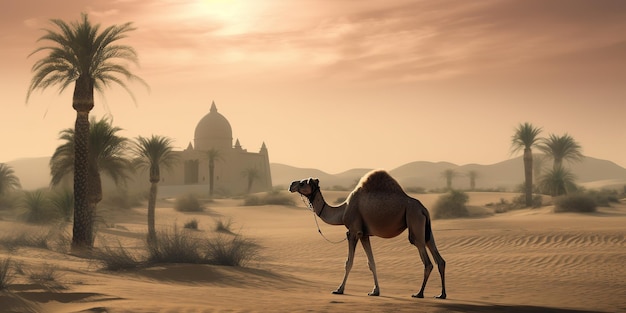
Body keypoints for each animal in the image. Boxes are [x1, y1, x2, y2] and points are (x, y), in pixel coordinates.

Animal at [288, 168, 444, 298]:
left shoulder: (353, 232)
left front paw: (339, 289)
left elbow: (349, 262)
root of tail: (424, 209)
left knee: (427, 262)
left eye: (302, 183)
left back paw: (419, 293)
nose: (291, 185)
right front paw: (375, 291)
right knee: (439, 260)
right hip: (426, 231)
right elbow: (371, 262)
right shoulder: (364, 234)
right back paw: (441, 294)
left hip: (414, 220)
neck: (342, 212)